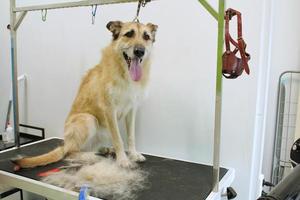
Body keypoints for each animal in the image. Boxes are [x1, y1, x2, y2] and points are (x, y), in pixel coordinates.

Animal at [13, 20, 159, 169]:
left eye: (146, 37)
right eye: (129, 34)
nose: (140, 52)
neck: (124, 74)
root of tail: (65, 143)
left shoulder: (131, 110)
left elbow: (131, 137)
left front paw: (133, 154)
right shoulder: (109, 110)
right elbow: (118, 138)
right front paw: (122, 159)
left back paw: (105, 150)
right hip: (88, 119)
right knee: (70, 152)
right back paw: (94, 156)